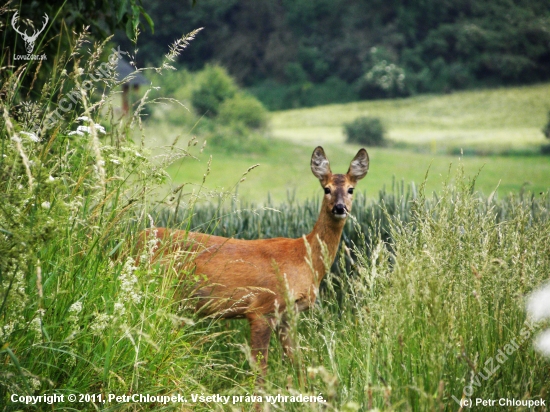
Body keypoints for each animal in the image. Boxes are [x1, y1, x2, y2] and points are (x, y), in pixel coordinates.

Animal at [138, 146, 370, 378]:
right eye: (326, 189)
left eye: (351, 189)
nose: (339, 208)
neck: (304, 257)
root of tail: (134, 238)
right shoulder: (262, 307)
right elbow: (261, 371)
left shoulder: (288, 316)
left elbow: (299, 365)